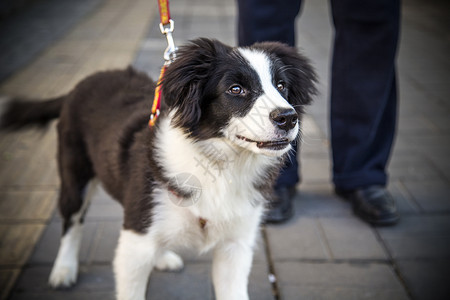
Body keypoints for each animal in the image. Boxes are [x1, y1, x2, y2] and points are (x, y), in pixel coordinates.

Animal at [0, 38, 316, 298]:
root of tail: (81, 84)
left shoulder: (236, 245)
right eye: (235, 89)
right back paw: (63, 270)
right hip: (74, 175)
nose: (288, 118)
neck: (219, 164)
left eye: (282, 86)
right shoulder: (133, 246)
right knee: (71, 221)